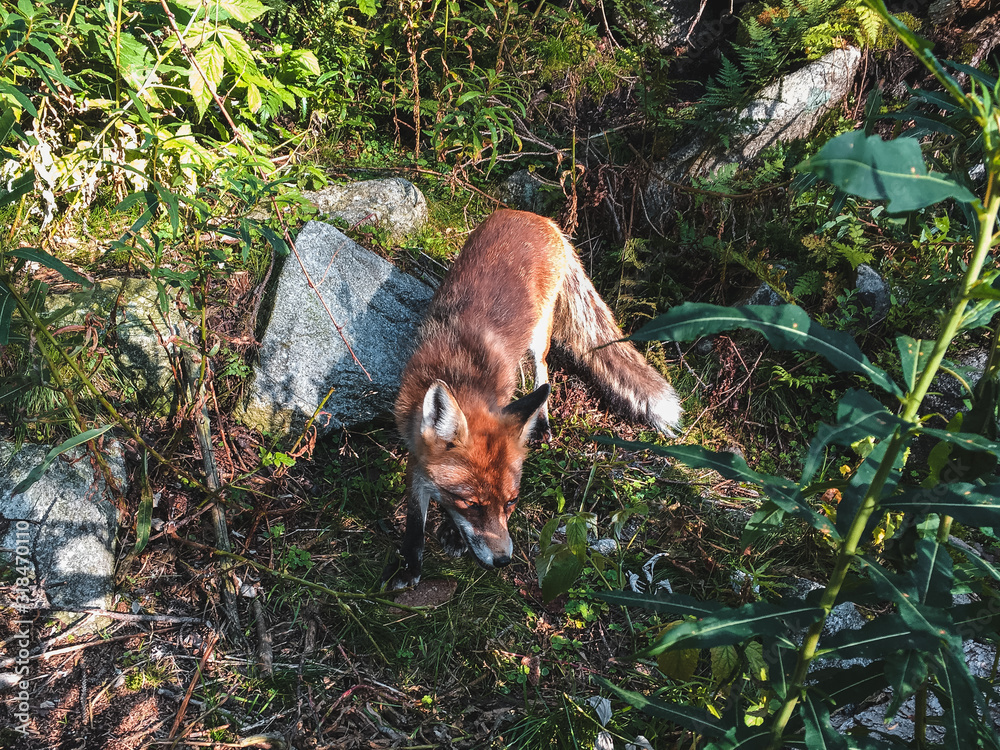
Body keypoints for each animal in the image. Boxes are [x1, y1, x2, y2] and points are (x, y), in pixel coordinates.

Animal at [383, 209, 682, 589]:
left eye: (511, 503)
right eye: (472, 504)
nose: (503, 561)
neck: (460, 375)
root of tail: (538, 218)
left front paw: (450, 535)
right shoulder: (416, 449)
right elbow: (414, 517)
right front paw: (409, 563)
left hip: (540, 333)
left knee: (543, 369)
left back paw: (541, 420)